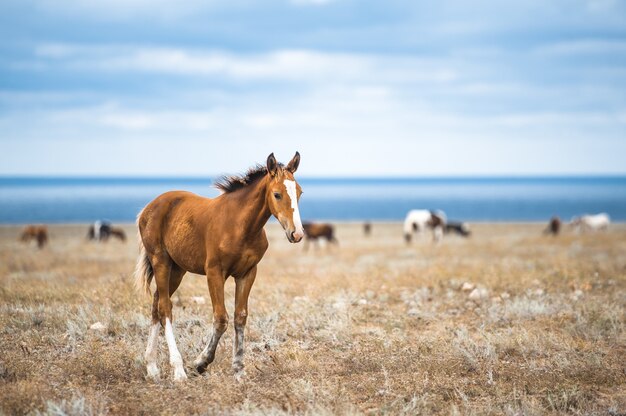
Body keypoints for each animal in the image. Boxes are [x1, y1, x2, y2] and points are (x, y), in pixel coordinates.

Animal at [135, 152, 304, 380]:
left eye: (299, 192)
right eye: (277, 194)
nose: (297, 234)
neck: (240, 226)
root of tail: (148, 208)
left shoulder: (247, 273)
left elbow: (240, 317)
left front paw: (239, 369)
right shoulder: (214, 272)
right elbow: (221, 318)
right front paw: (200, 362)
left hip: (178, 269)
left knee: (156, 304)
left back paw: (152, 367)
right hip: (160, 261)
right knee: (165, 308)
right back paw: (178, 370)